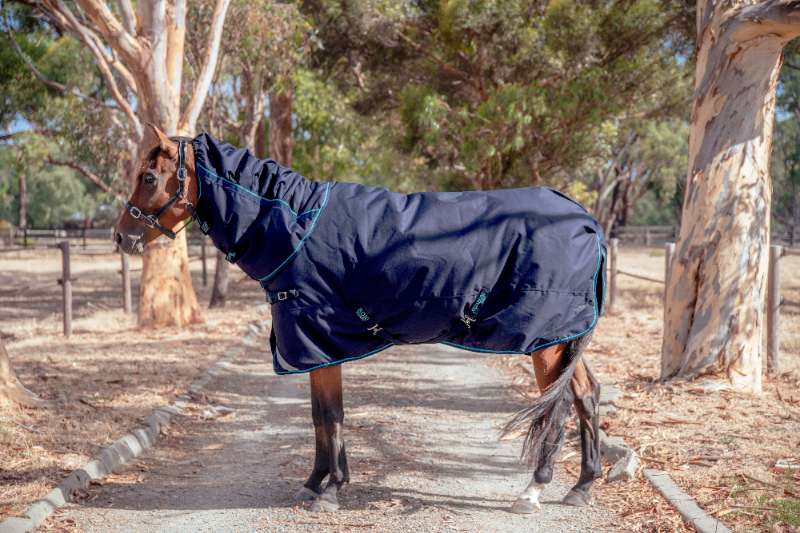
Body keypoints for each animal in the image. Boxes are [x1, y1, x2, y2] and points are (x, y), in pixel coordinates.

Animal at [115, 123, 605, 514]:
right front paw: (316, 483)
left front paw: (330, 491)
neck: (297, 226)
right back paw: (582, 486)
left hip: (548, 341)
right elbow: (320, 415)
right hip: (564, 338)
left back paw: (533, 491)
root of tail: (586, 220)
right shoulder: (318, 348)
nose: (122, 236)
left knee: (559, 406)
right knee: (586, 394)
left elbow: (330, 415)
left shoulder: (319, 343)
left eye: (149, 177)